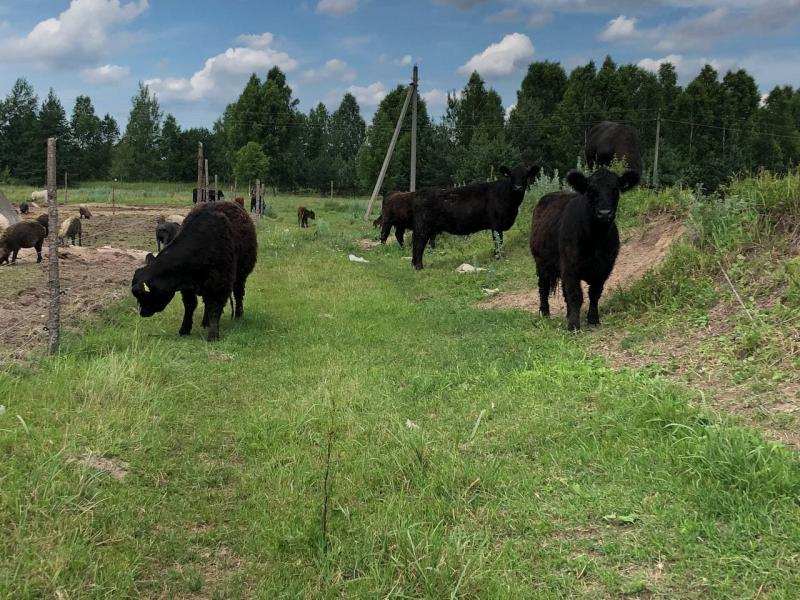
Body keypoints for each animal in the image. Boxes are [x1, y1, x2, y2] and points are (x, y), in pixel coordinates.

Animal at [131, 203, 256, 340]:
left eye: (143, 294)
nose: (142, 312)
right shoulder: (188, 288)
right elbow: (190, 306)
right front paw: (184, 329)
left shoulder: (219, 284)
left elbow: (215, 307)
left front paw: (213, 335)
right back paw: (205, 322)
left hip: (241, 274)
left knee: (238, 293)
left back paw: (238, 315)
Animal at [410, 163, 540, 268]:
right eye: (511, 176)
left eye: (525, 176)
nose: (518, 187)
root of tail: (419, 194)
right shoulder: (496, 224)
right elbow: (498, 241)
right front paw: (498, 257)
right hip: (422, 228)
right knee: (418, 245)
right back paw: (419, 267)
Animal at [528, 166, 640, 330]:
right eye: (591, 189)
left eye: (615, 189)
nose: (604, 213)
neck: (596, 238)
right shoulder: (570, 266)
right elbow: (575, 295)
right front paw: (574, 325)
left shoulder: (604, 268)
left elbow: (594, 293)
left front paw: (593, 319)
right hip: (541, 262)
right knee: (543, 287)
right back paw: (545, 313)